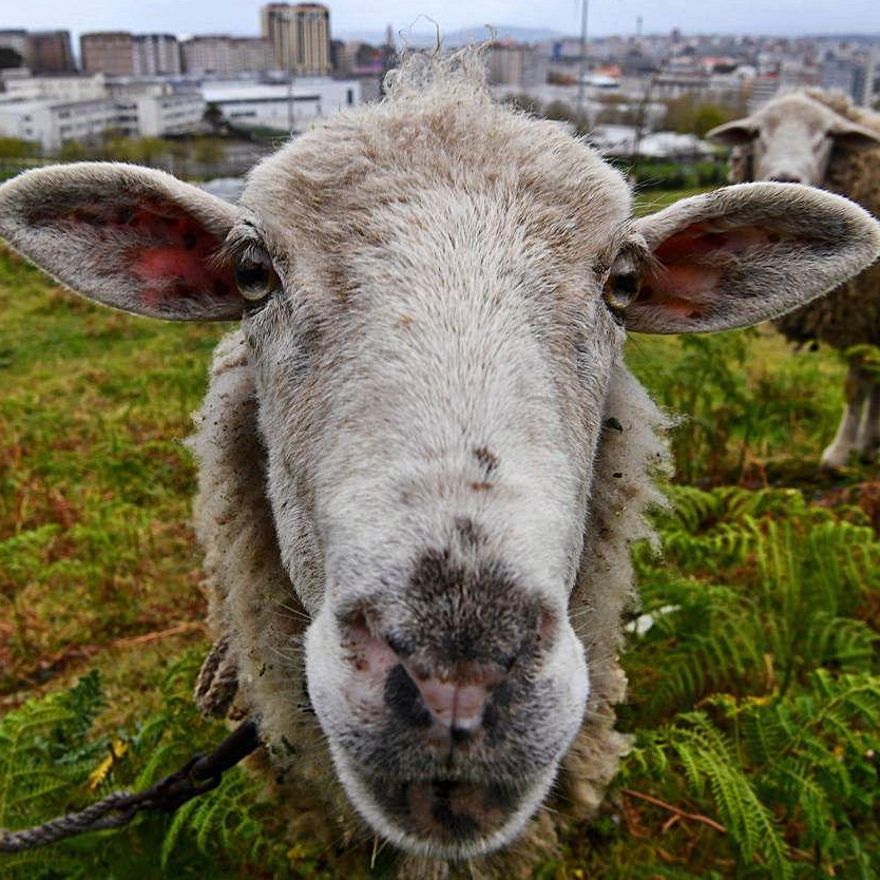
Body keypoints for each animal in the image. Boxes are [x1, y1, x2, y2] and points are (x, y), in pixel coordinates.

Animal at [704, 90, 880, 470]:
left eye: (828, 135)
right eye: (757, 133)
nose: (785, 178)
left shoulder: (863, 316)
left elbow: (857, 384)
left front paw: (839, 452)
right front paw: (864, 444)